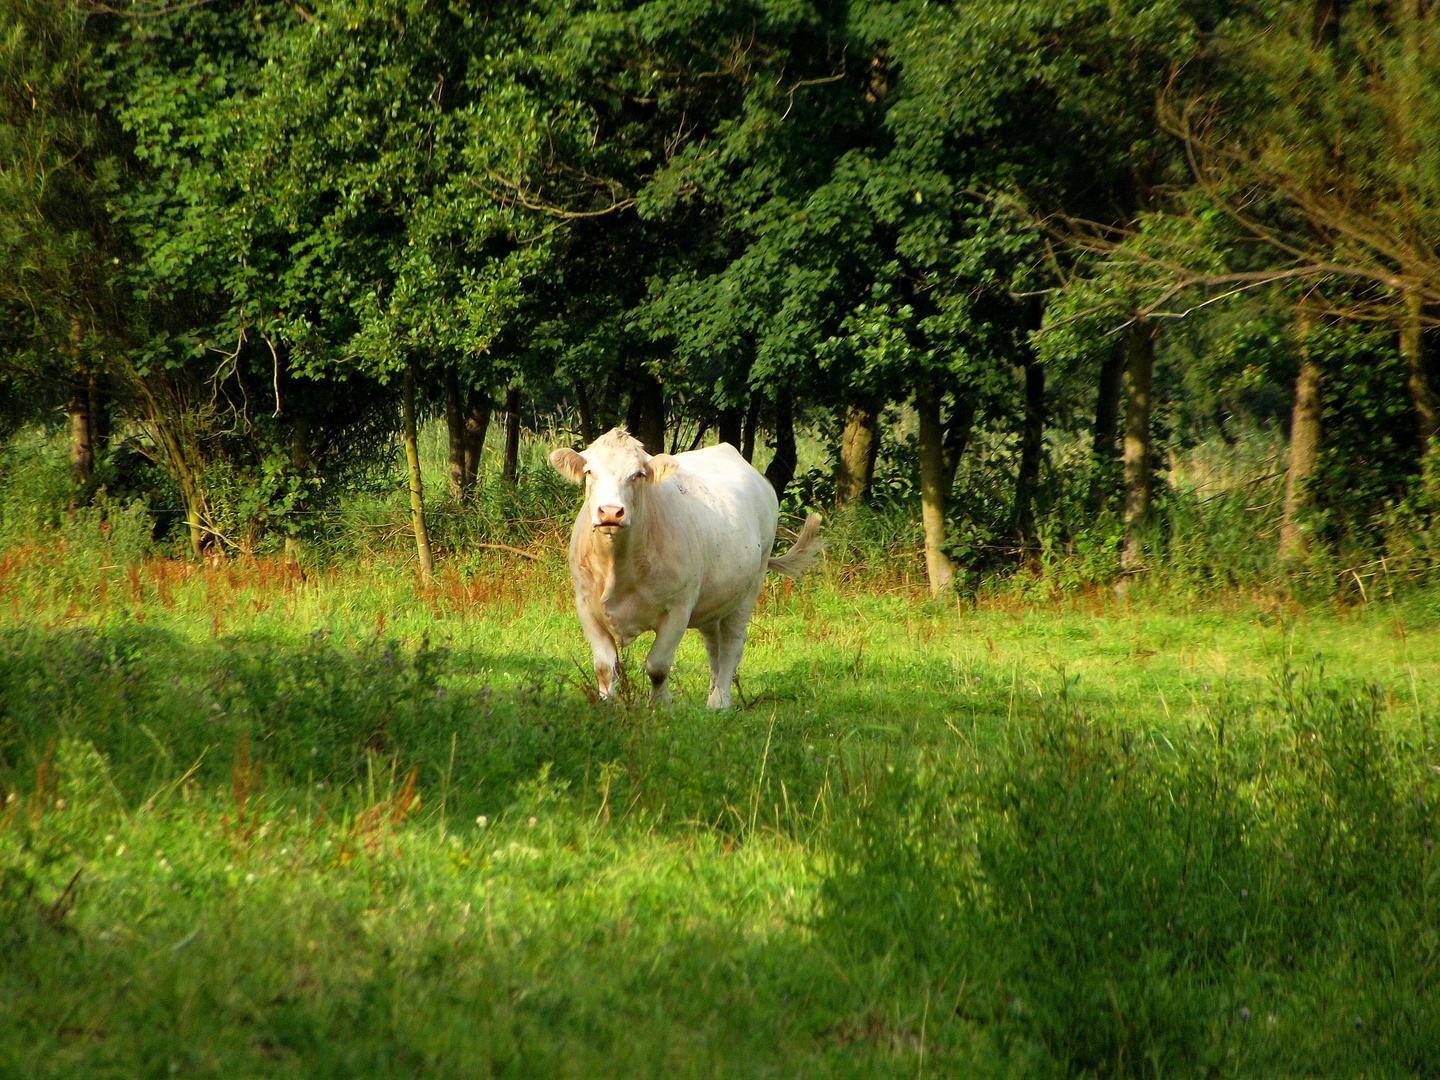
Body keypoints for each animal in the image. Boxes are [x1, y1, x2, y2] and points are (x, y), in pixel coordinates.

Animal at [547, 426, 823, 714]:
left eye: (638, 474)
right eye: (590, 471)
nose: (611, 512)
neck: (617, 567)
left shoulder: (678, 609)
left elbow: (657, 665)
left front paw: (660, 704)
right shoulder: (585, 605)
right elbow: (603, 666)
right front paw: (606, 705)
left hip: (749, 588)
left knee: (732, 644)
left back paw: (719, 700)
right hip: (714, 599)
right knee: (714, 646)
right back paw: (712, 694)